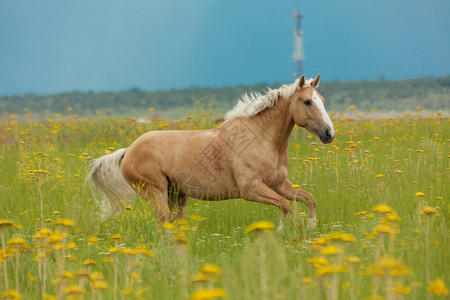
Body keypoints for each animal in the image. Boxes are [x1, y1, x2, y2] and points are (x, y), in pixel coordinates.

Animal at [87, 74, 334, 229]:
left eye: (321, 99)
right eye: (307, 102)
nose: (329, 133)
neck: (261, 139)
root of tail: (128, 151)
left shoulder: (278, 184)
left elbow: (309, 199)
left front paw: (312, 228)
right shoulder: (251, 189)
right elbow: (284, 206)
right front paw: (281, 232)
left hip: (177, 195)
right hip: (156, 192)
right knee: (163, 223)